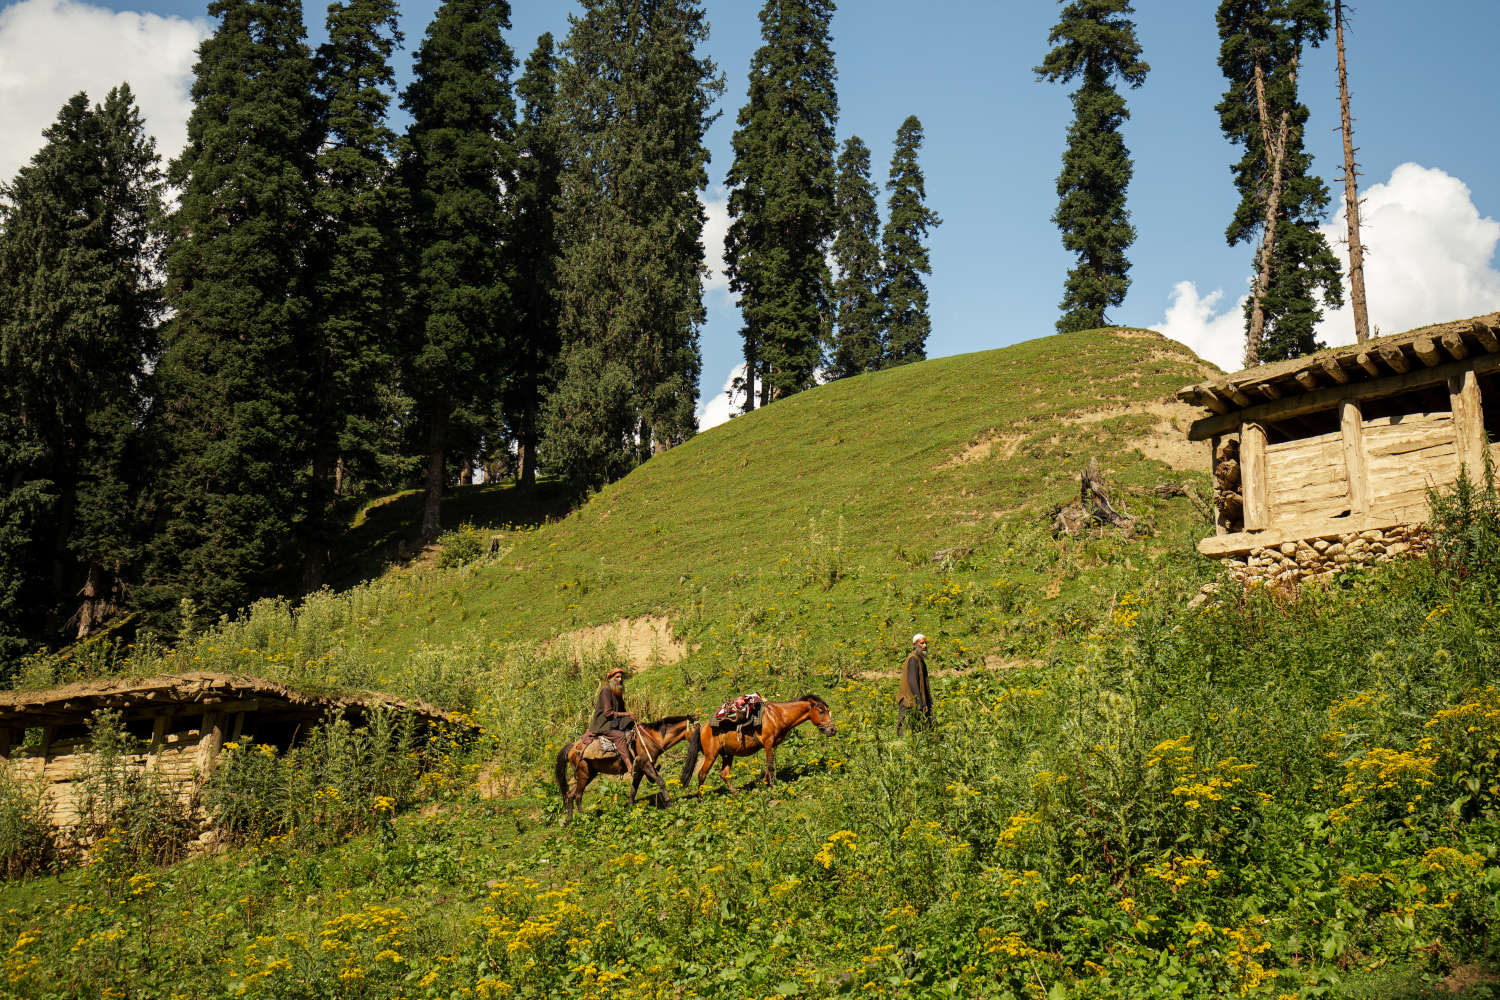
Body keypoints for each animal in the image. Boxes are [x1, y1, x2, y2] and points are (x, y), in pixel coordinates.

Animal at [558, 716, 696, 827]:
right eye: (697, 728)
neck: (651, 739)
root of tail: (572, 747)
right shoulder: (646, 766)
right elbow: (661, 782)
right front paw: (669, 804)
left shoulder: (639, 770)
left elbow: (633, 790)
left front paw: (629, 810)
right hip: (583, 775)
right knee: (578, 795)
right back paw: (584, 818)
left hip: (588, 775)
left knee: (570, 794)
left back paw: (569, 820)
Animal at [684, 695, 840, 797]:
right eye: (821, 711)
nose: (832, 730)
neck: (778, 715)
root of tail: (703, 727)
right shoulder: (768, 743)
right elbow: (770, 765)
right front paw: (772, 786)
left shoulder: (772, 745)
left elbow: (768, 766)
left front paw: (765, 784)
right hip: (711, 755)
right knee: (702, 774)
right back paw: (701, 799)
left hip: (728, 755)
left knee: (724, 774)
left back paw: (736, 793)